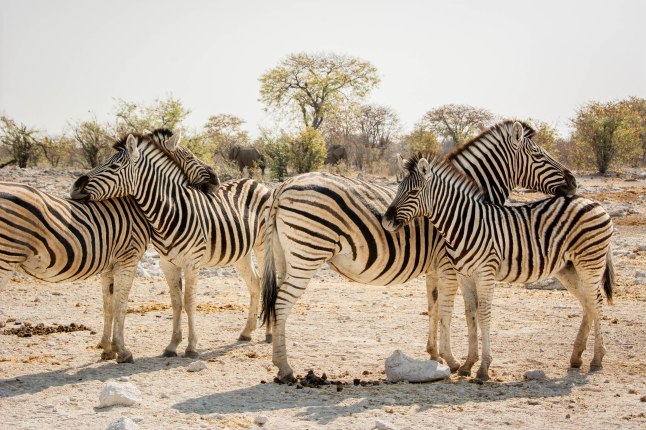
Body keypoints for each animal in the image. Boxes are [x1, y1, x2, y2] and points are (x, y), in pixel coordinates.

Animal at [70, 128, 272, 358]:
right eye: (190, 156)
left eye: (113, 167)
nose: (75, 187)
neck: (169, 211)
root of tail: (255, 182)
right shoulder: (167, 263)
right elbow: (176, 302)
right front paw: (173, 345)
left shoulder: (192, 263)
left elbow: (189, 301)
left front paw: (192, 346)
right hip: (241, 252)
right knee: (255, 283)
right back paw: (246, 332)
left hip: (262, 245)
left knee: (266, 282)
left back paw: (268, 334)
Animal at [260, 120, 577, 383]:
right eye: (538, 153)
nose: (573, 182)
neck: (463, 210)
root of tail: (284, 185)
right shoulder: (451, 266)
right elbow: (453, 310)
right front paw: (454, 361)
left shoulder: (436, 269)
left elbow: (435, 307)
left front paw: (435, 355)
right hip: (308, 254)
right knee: (282, 303)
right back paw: (285, 369)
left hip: (285, 257)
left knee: (276, 302)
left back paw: (279, 363)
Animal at [382, 155, 614, 380]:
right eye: (398, 190)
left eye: (413, 192)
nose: (386, 221)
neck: (464, 225)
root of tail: (592, 201)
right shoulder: (464, 276)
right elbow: (470, 314)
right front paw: (467, 364)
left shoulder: (485, 274)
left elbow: (484, 314)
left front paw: (483, 367)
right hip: (568, 267)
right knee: (587, 302)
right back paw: (577, 357)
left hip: (590, 262)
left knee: (596, 301)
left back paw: (597, 358)